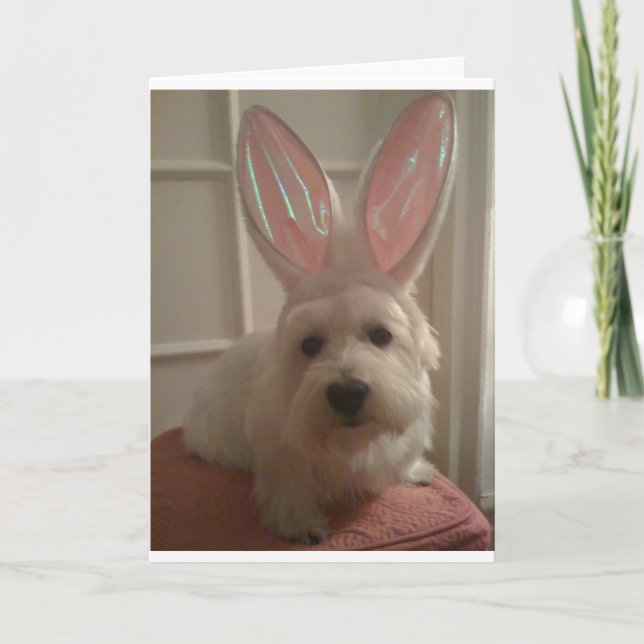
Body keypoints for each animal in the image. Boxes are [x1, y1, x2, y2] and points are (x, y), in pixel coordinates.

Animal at [184, 93, 457, 545]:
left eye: (381, 335)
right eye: (310, 344)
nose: (347, 393)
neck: (351, 444)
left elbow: (402, 459)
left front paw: (414, 472)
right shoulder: (279, 452)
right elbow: (288, 487)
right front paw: (299, 523)